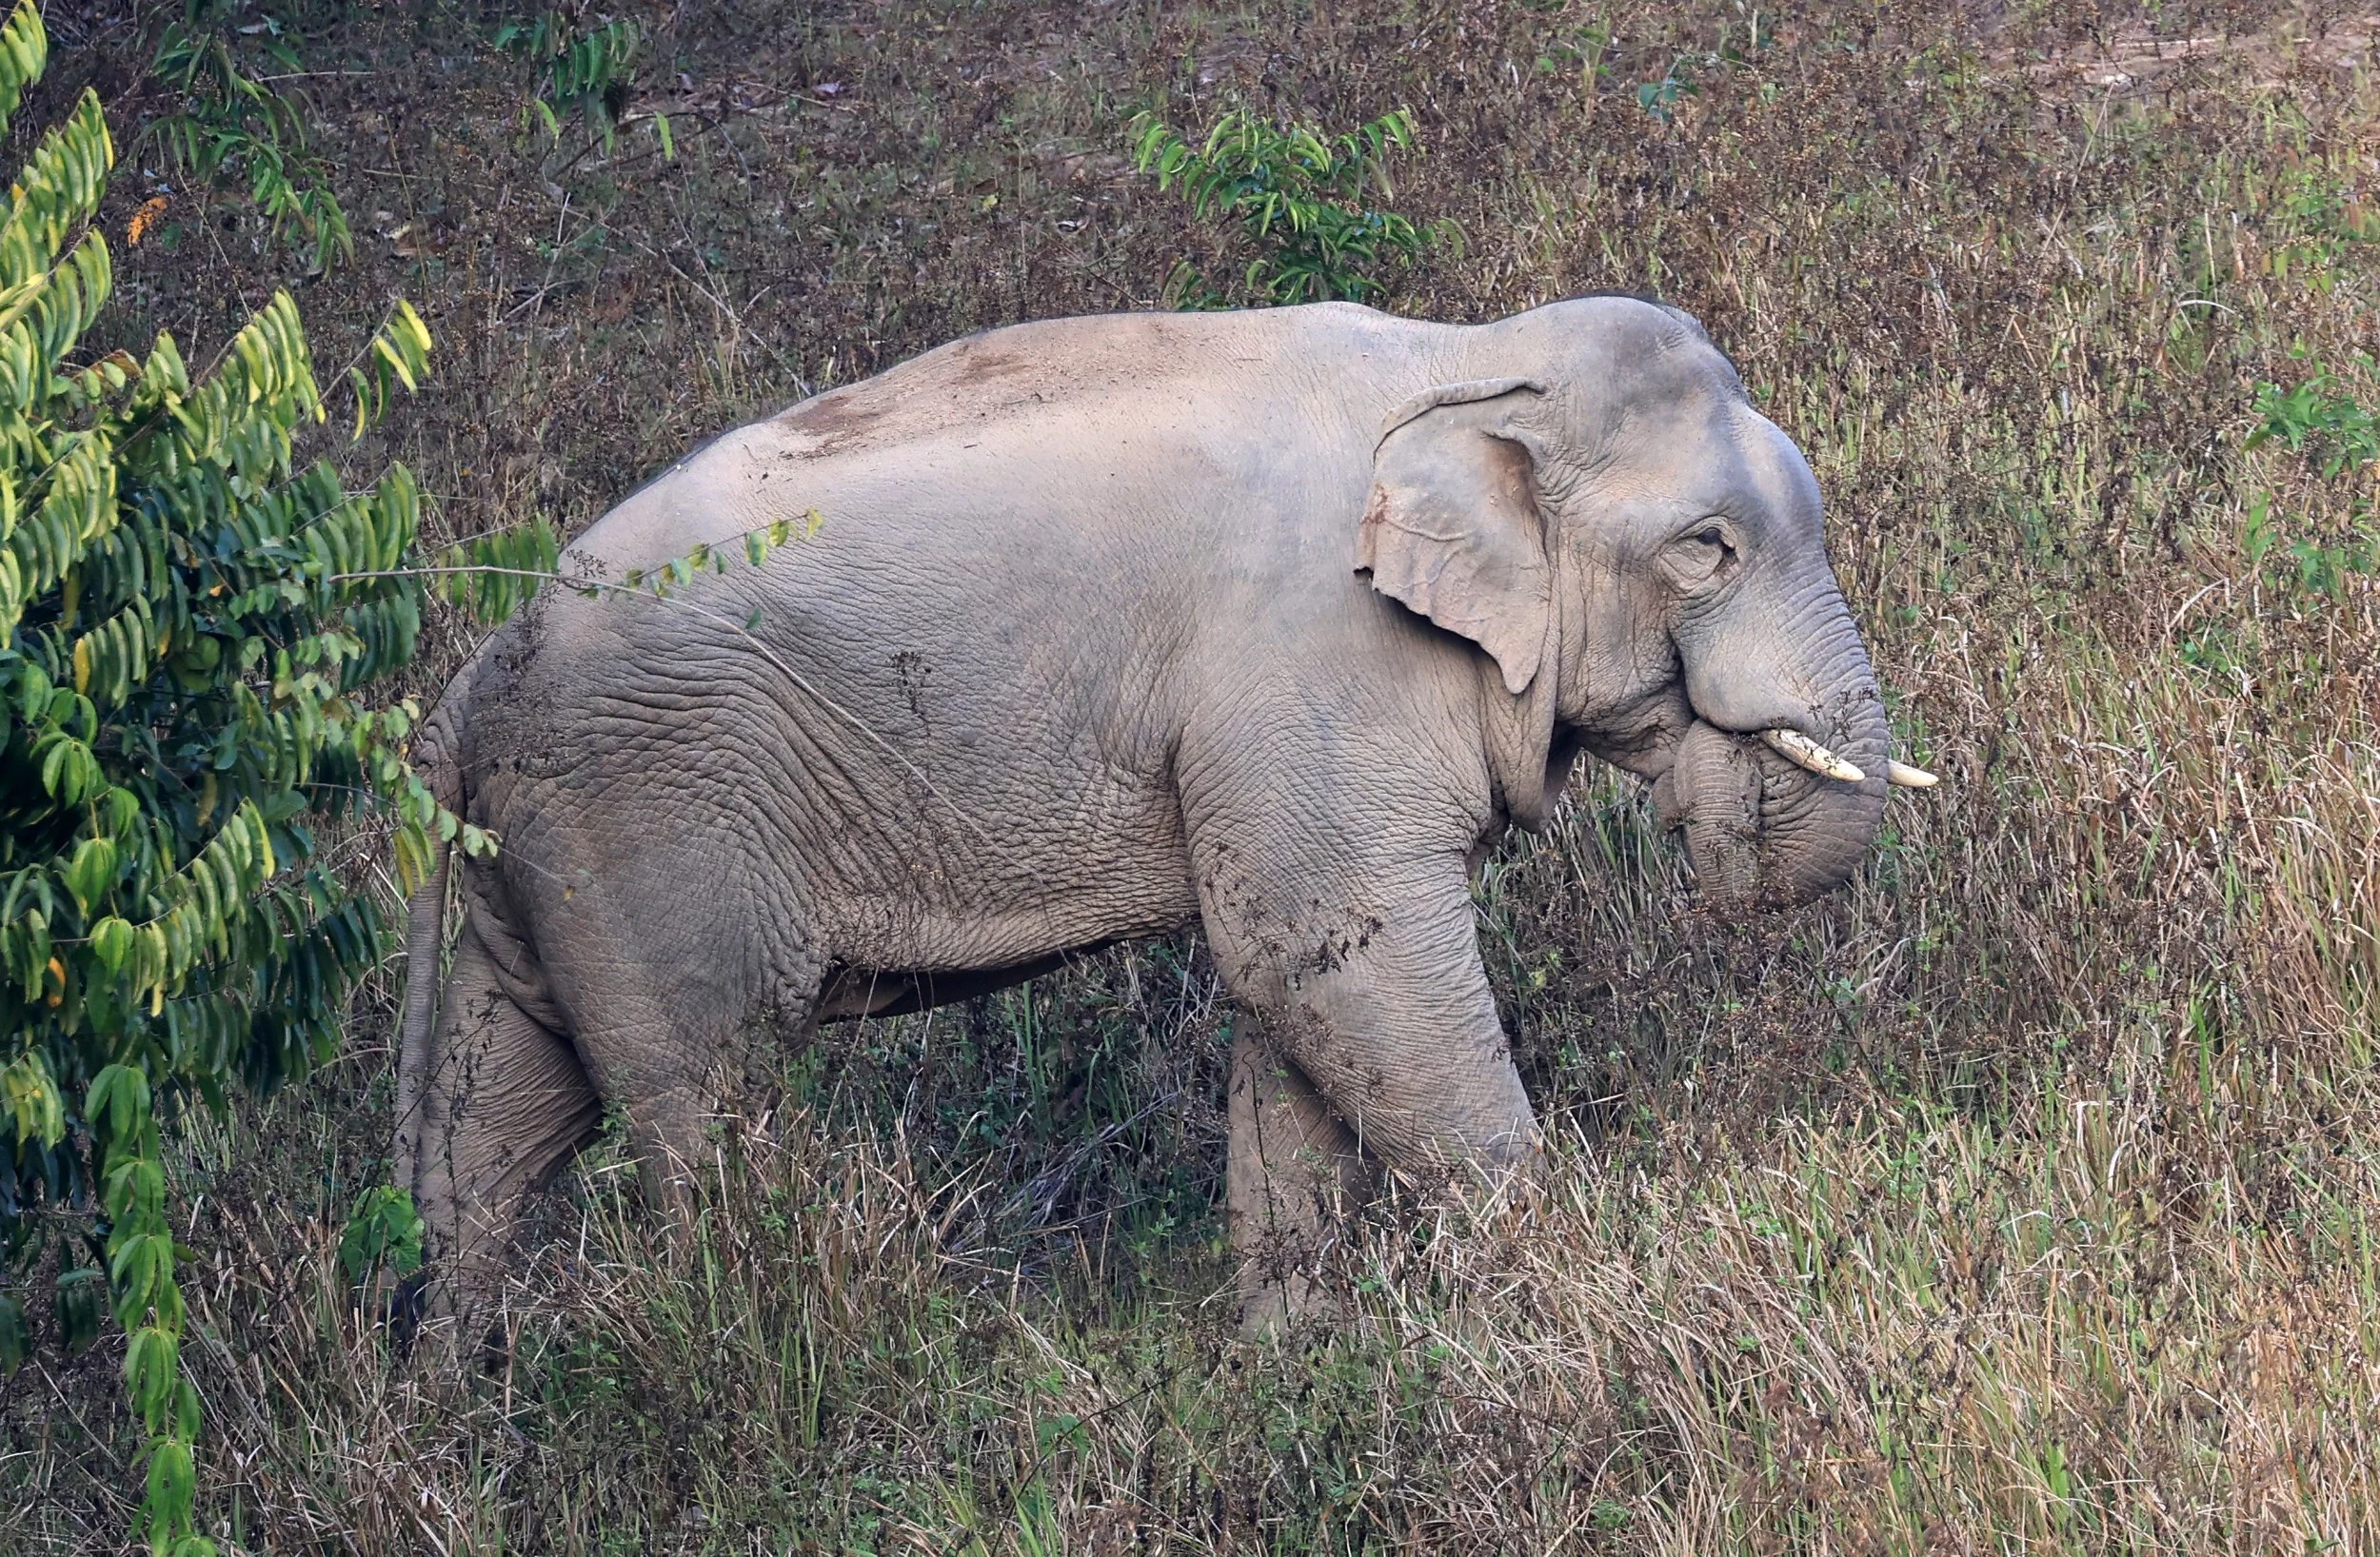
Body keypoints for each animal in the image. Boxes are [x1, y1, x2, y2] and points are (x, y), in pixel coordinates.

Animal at [392, 296, 1930, 1322]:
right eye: (1705, 547)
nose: (1720, 825)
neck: (1461, 360)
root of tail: (460, 695)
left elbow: (1290, 990)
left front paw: (1293, 1354)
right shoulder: (1313, 667)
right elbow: (1340, 958)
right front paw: (1545, 1287)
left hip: (541, 855)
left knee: (494, 1116)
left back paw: (456, 1402)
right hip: (648, 818)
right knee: (709, 1098)